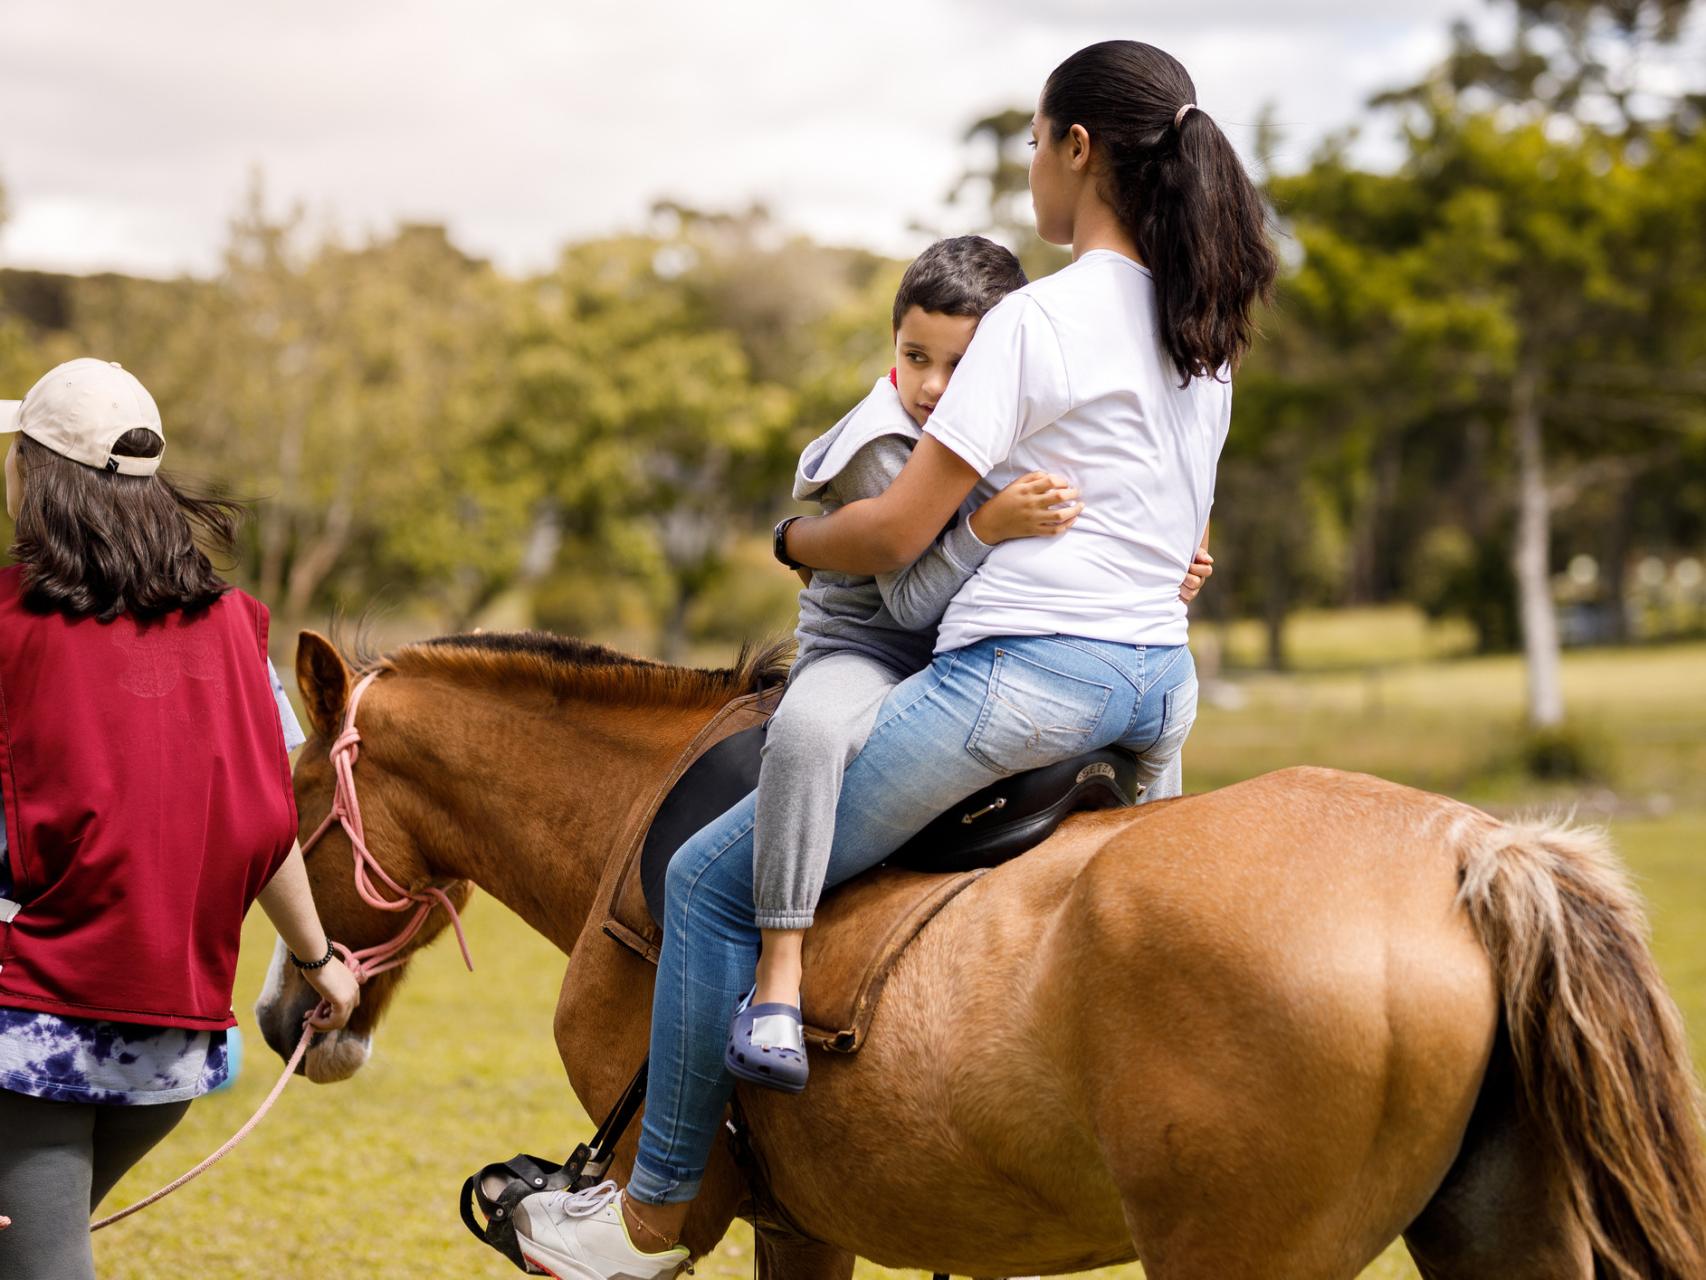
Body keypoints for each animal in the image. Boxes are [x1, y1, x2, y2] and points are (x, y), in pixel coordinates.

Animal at [256, 628, 1706, 1280]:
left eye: (290, 804)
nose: (282, 1015)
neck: (631, 815)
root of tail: (1472, 851)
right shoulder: (805, 1222)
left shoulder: (752, 1213)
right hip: (1500, 1233)